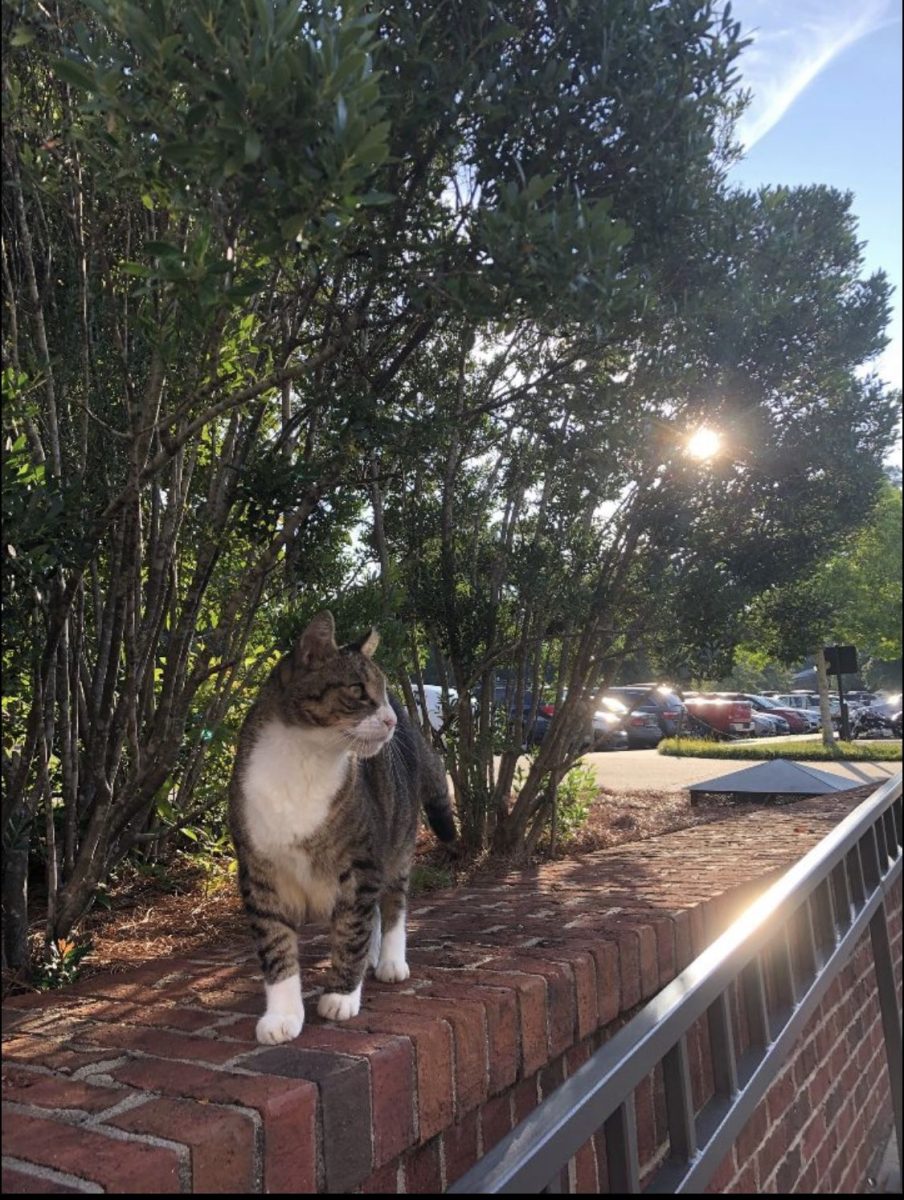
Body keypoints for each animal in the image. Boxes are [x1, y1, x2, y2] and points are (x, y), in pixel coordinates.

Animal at [229, 609, 453, 1041]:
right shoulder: (259, 871)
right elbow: (276, 943)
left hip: (398, 840)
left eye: (382, 690)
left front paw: (342, 994)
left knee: (392, 903)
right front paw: (282, 1015)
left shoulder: (360, 861)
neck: (303, 758)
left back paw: (389, 960)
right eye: (357, 689)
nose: (389, 718)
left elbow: (351, 931)